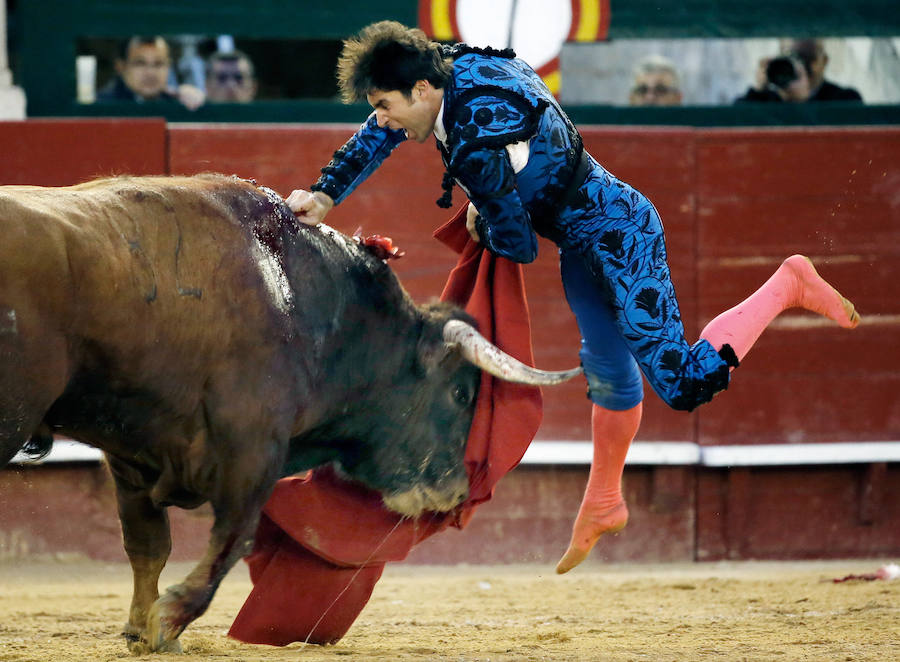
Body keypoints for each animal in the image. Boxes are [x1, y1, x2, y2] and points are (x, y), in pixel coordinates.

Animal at [0, 174, 576, 656]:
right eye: (459, 393)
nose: (457, 491)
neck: (309, 304)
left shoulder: (133, 454)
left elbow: (148, 544)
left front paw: (144, 630)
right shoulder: (255, 447)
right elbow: (233, 538)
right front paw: (168, 621)